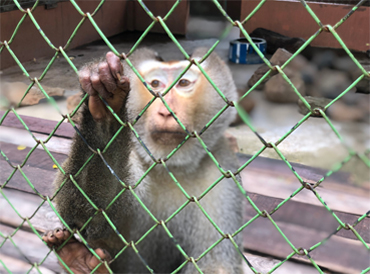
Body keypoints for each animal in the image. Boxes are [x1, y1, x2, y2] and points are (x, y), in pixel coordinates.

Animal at [42, 48, 243, 272]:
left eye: (183, 83)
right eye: (155, 84)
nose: (166, 111)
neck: (170, 165)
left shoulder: (222, 171)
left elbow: (216, 263)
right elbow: (91, 218)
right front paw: (104, 106)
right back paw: (78, 262)